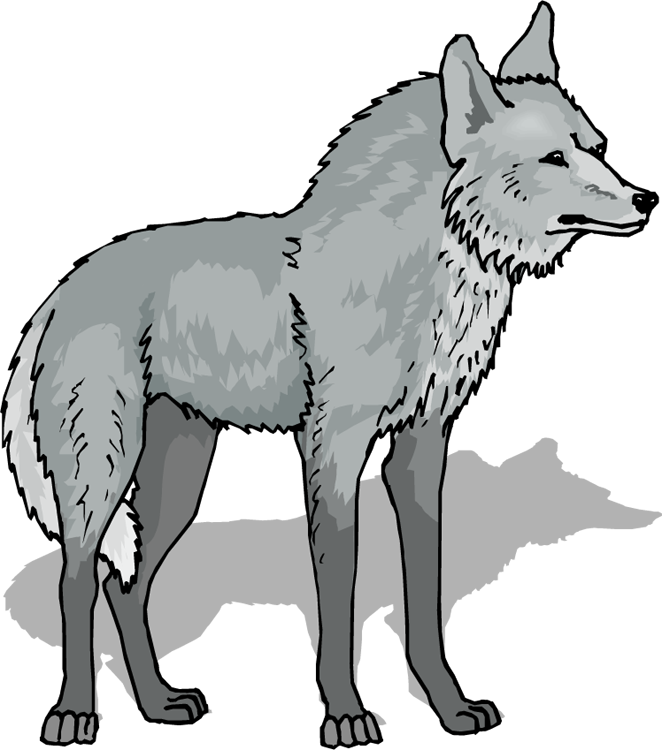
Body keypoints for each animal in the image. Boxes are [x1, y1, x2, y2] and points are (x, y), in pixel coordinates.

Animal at [4, 6, 648, 745]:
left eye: (593, 146)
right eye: (553, 159)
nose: (643, 198)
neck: (426, 276)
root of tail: (66, 286)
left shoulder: (421, 448)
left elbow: (424, 596)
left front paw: (451, 710)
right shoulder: (333, 445)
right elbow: (339, 588)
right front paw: (344, 713)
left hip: (179, 475)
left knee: (125, 584)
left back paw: (158, 704)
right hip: (102, 468)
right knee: (76, 576)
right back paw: (74, 711)